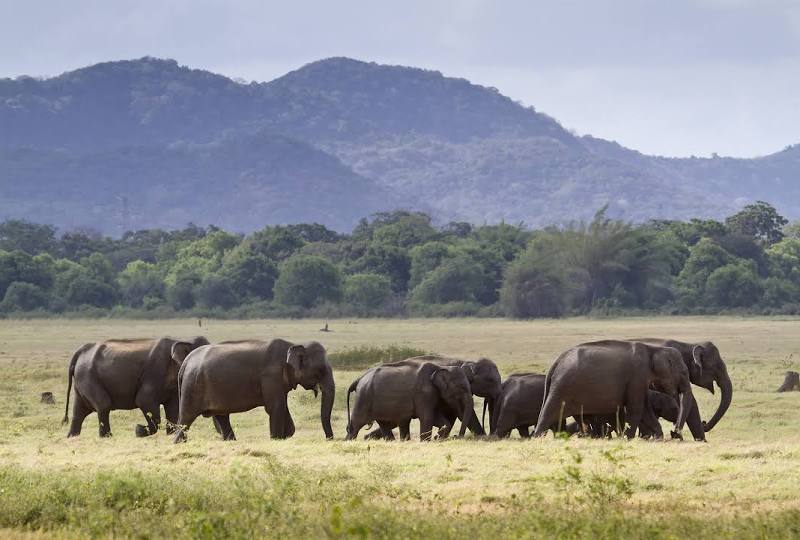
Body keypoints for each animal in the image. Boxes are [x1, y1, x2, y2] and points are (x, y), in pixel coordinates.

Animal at [63, 336, 209, 436]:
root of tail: (80, 351)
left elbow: (173, 408)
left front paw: (169, 434)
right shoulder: (154, 373)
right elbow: (144, 400)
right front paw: (139, 430)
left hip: (83, 380)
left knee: (78, 412)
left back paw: (72, 437)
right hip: (89, 377)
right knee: (103, 406)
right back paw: (106, 437)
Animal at [173, 338, 336, 442]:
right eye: (320, 370)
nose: (329, 439)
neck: (293, 345)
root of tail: (186, 361)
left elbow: (283, 408)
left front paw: (285, 436)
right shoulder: (271, 377)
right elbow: (275, 408)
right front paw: (276, 439)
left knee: (221, 417)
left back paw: (231, 442)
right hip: (192, 387)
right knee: (186, 420)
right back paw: (178, 443)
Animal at [346, 360, 476, 440]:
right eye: (461, 388)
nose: (456, 436)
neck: (441, 367)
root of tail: (359, 378)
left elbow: (439, 419)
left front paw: (437, 437)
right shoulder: (424, 393)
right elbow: (427, 418)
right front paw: (426, 441)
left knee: (384, 424)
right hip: (363, 397)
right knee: (355, 424)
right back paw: (349, 440)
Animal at [536, 342, 696, 438]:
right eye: (684, 373)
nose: (674, 433)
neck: (653, 349)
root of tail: (557, 361)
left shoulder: (640, 381)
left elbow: (645, 409)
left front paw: (658, 438)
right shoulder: (637, 377)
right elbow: (636, 408)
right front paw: (628, 438)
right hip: (562, 387)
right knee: (548, 413)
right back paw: (537, 438)